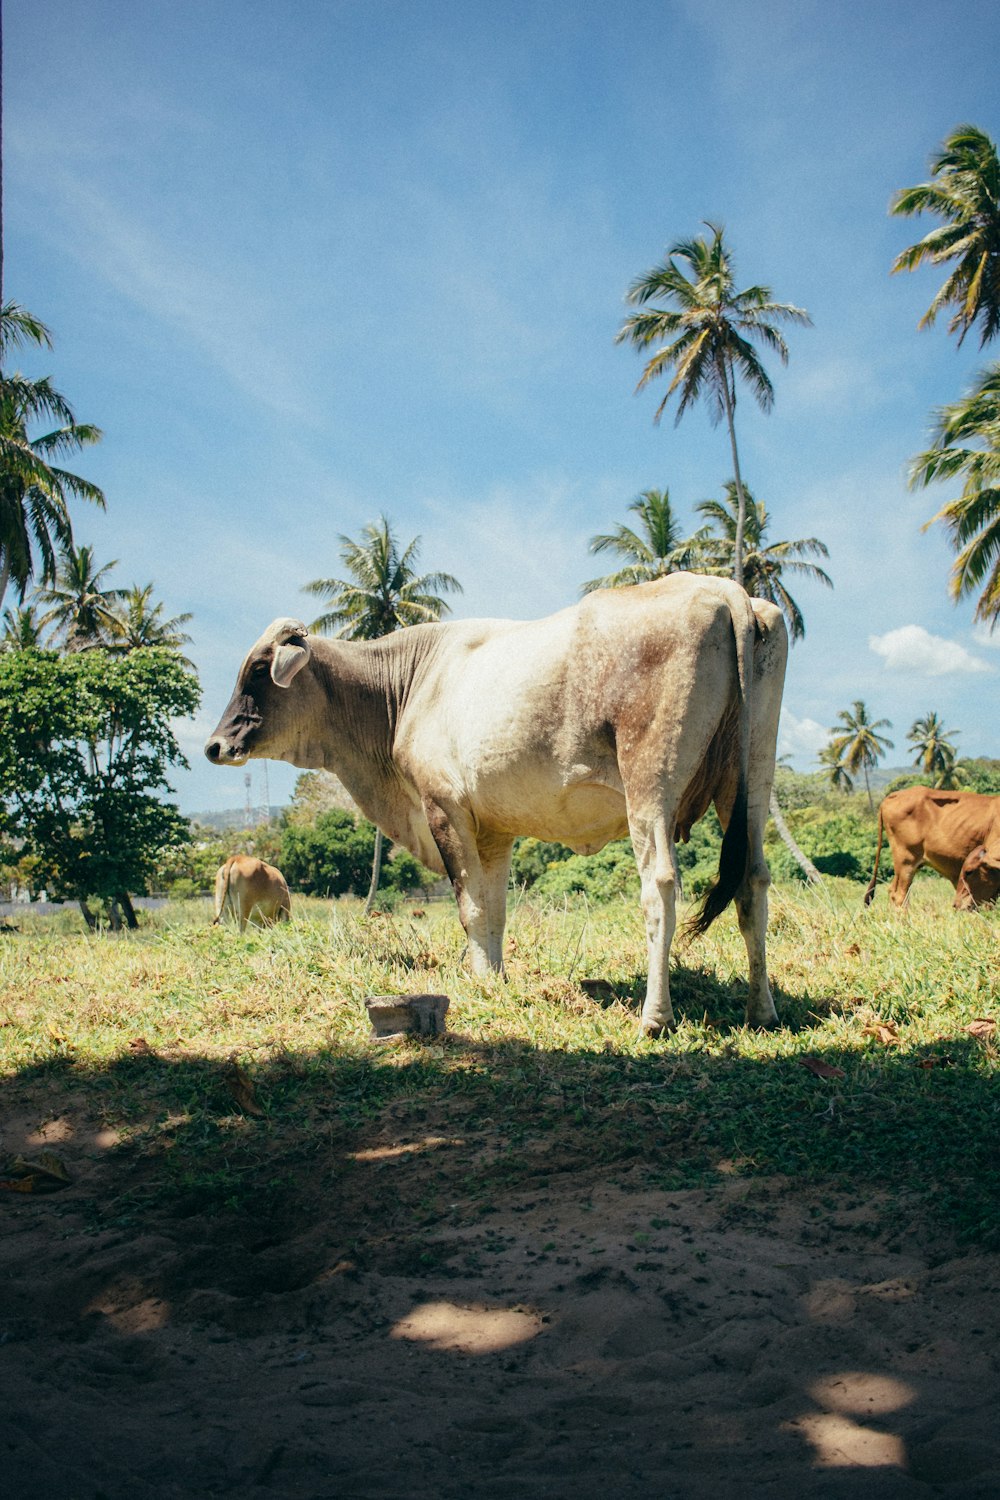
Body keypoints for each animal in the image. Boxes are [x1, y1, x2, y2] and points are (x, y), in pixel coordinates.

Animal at [203, 579, 791, 1038]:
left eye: (258, 670)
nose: (214, 746)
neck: (406, 685)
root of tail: (725, 590)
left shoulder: (443, 807)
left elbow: (470, 907)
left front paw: (480, 980)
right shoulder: (493, 831)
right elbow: (495, 909)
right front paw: (497, 977)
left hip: (649, 783)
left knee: (661, 885)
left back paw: (654, 1017)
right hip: (750, 781)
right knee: (754, 880)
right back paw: (761, 1010)